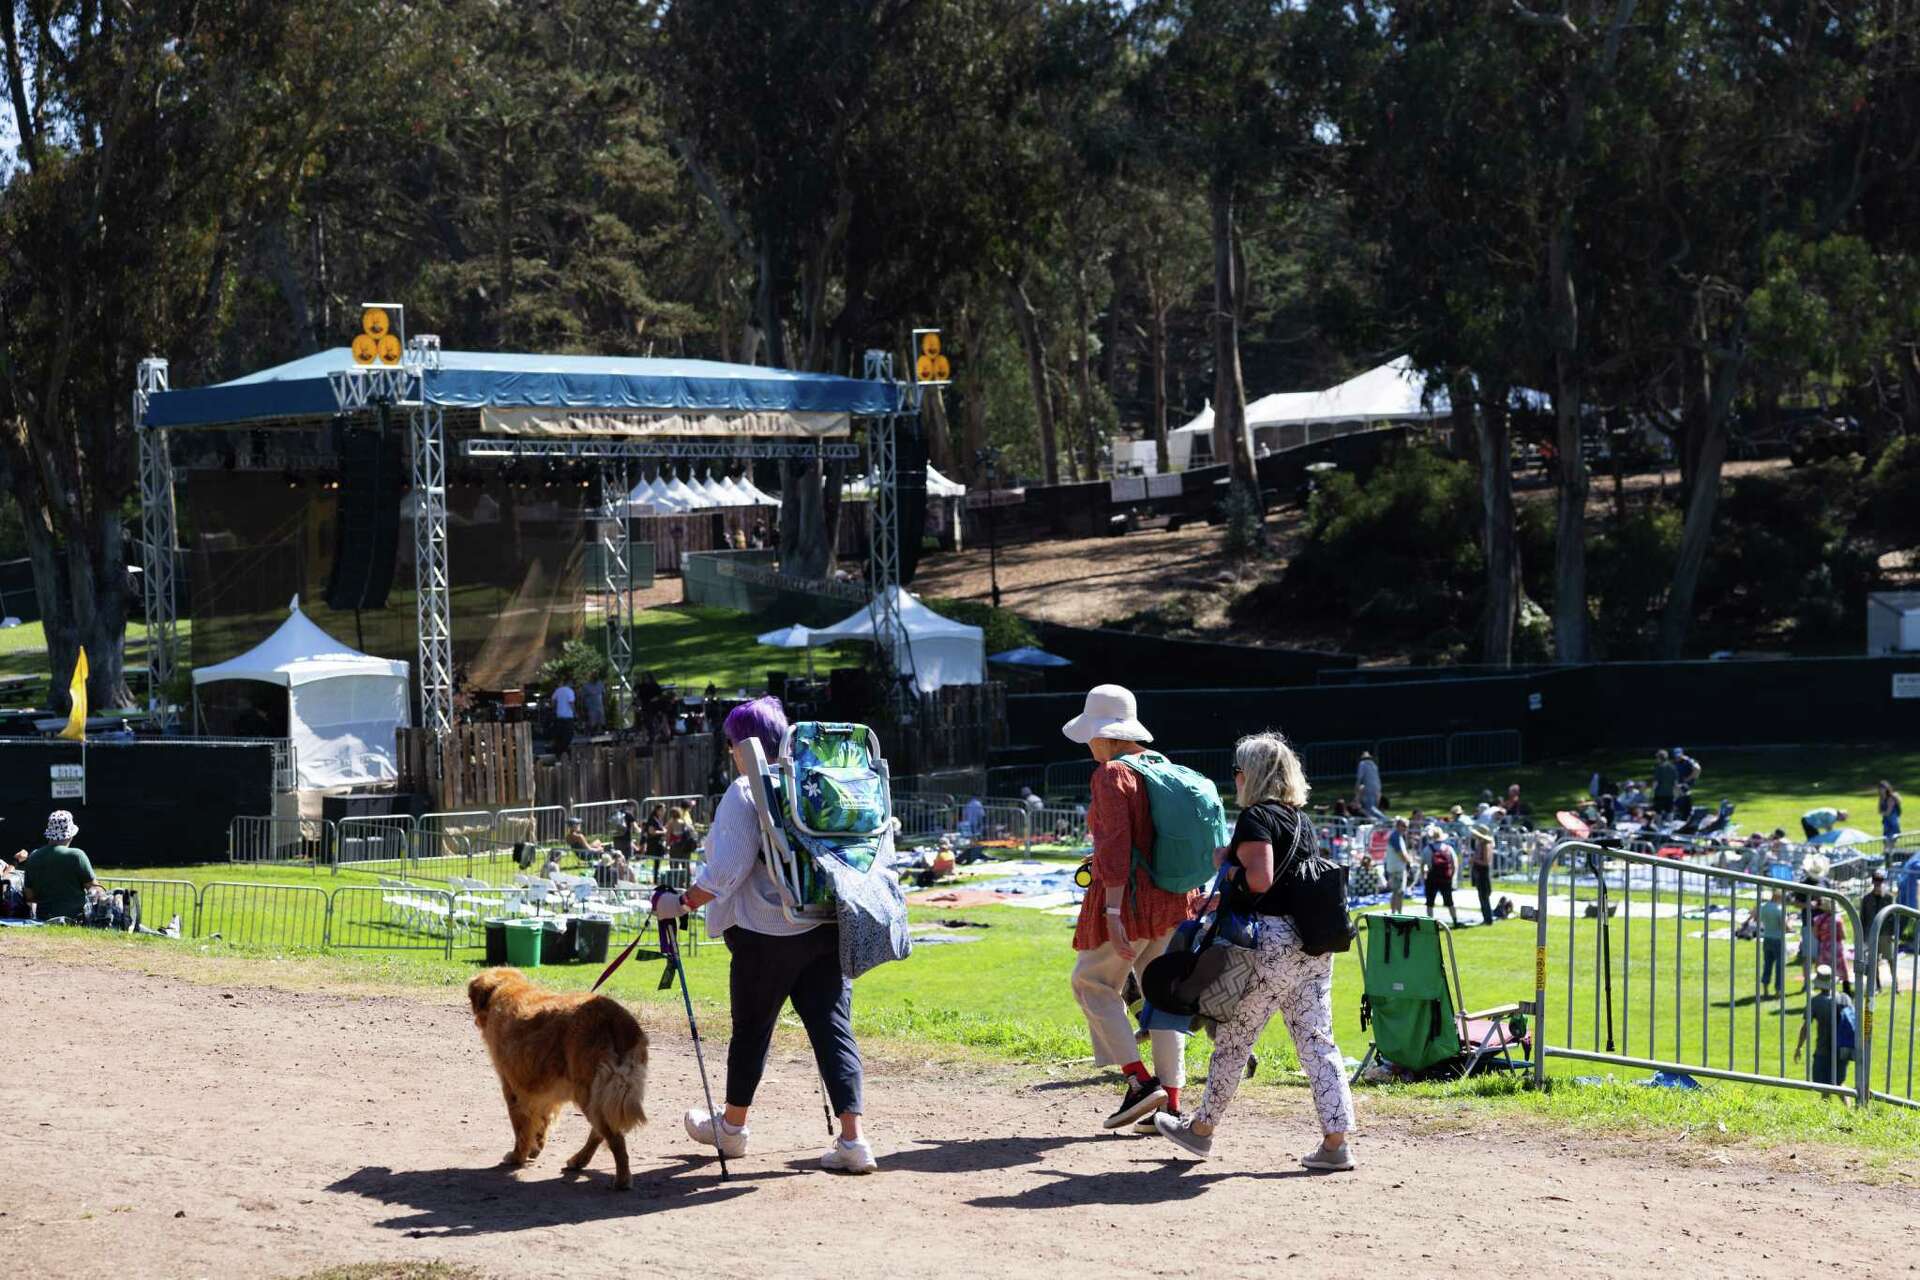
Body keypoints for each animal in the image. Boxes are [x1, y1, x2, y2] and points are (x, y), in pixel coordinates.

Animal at [466, 971, 648, 1189]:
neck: (504, 988)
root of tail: (615, 1017)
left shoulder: (513, 1088)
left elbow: (520, 1128)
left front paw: (517, 1156)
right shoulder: (542, 1090)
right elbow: (540, 1122)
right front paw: (535, 1148)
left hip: (589, 1091)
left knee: (614, 1138)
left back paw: (622, 1179)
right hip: (601, 1094)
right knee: (599, 1132)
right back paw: (579, 1160)